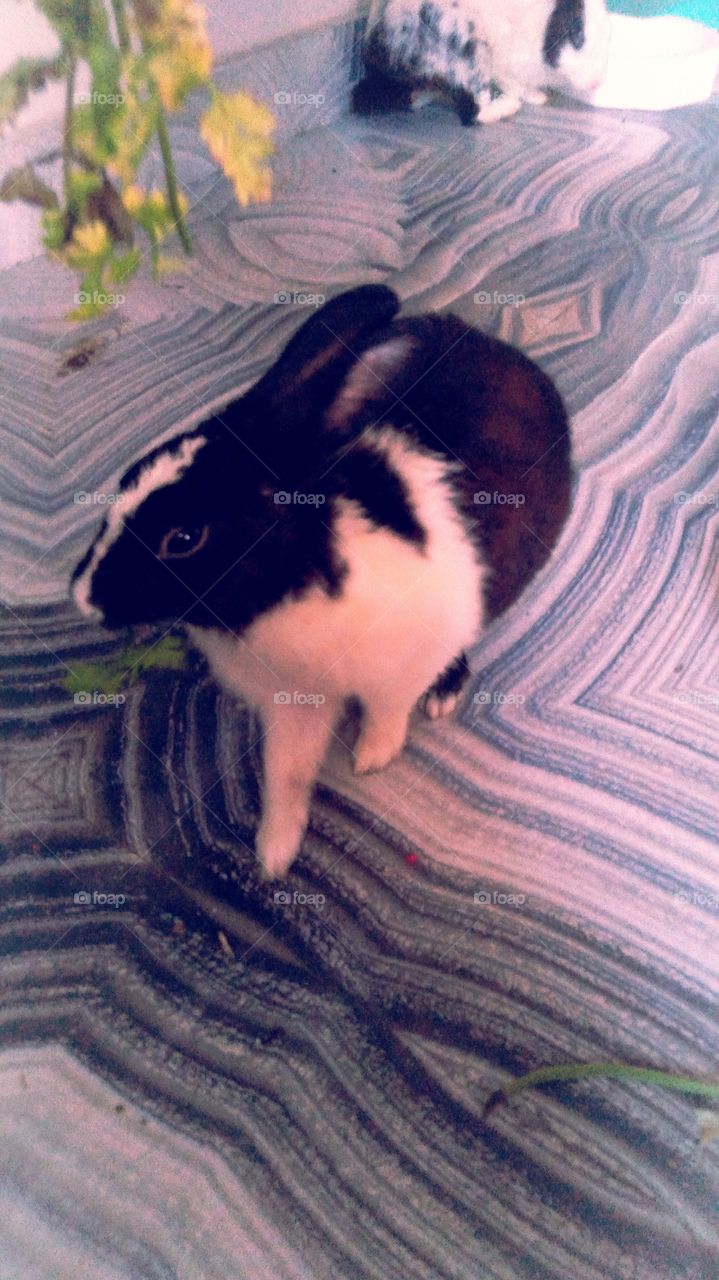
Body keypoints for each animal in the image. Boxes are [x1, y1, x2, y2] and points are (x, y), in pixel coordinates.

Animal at [72, 286, 572, 879]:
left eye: (184, 538)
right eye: (126, 479)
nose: (82, 597)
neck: (292, 579)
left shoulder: (399, 671)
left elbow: (386, 714)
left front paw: (372, 758)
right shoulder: (294, 706)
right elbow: (286, 772)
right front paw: (273, 854)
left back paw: (444, 694)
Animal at [352, 0, 611, 125]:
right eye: (577, 36)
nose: (596, 82)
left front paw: (538, 96)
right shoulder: (506, 66)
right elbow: (515, 86)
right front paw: (533, 98)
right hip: (471, 57)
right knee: (475, 112)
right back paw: (507, 107)